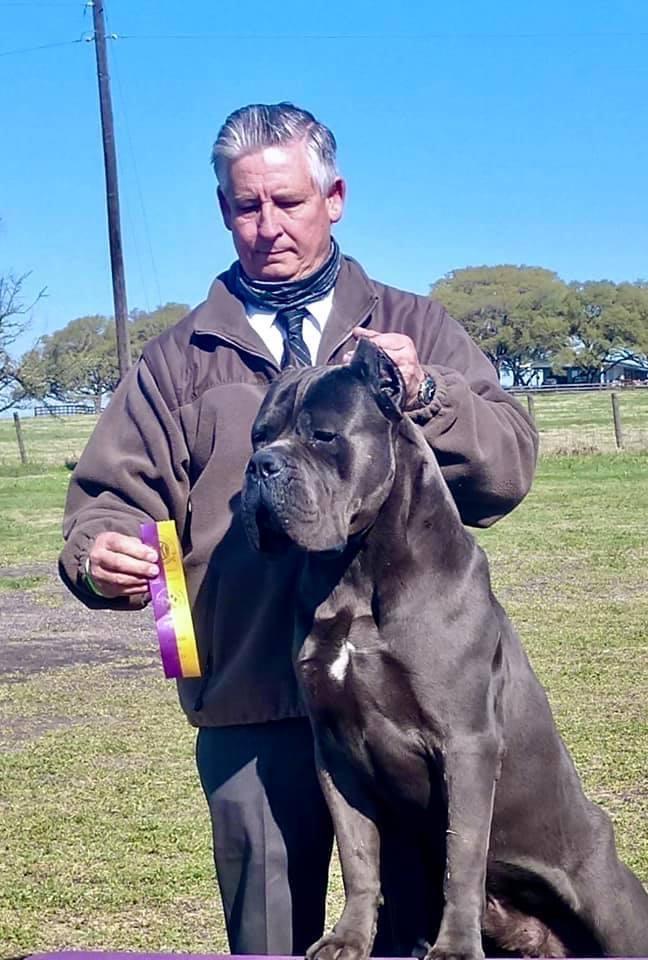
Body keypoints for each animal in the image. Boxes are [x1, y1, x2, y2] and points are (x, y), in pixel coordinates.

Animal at [241, 338, 648, 959]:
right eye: (259, 436)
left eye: (323, 436)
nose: (261, 465)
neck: (357, 571)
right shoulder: (333, 749)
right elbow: (358, 856)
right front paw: (347, 939)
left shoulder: (466, 743)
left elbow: (463, 855)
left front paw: (454, 946)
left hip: (611, 902)